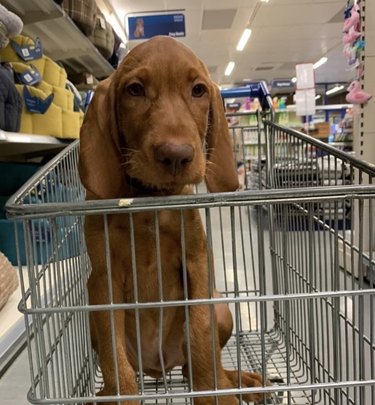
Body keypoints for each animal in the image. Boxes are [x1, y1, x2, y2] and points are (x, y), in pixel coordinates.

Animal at [79, 35, 268, 404]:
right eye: (135, 90)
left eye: (198, 90)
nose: (176, 155)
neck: (148, 201)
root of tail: (160, 368)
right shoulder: (104, 279)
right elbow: (113, 355)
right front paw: (121, 394)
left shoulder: (196, 261)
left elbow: (200, 333)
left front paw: (214, 394)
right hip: (92, 322)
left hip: (222, 307)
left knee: (203, 360)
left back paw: (240, 381)